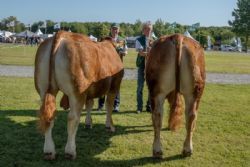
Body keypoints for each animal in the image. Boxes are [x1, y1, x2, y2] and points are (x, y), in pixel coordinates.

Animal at [34, 30, 124, 160]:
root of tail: (62, 34)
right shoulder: (114, 86)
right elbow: (109, 106)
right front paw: (110, 126)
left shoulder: (89, 91)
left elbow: (90, 104)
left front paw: (88, 123)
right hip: (77, 93)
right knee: (72, 118)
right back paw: (70, 151)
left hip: (43, 89)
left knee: (48, 117)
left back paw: (49, 151)